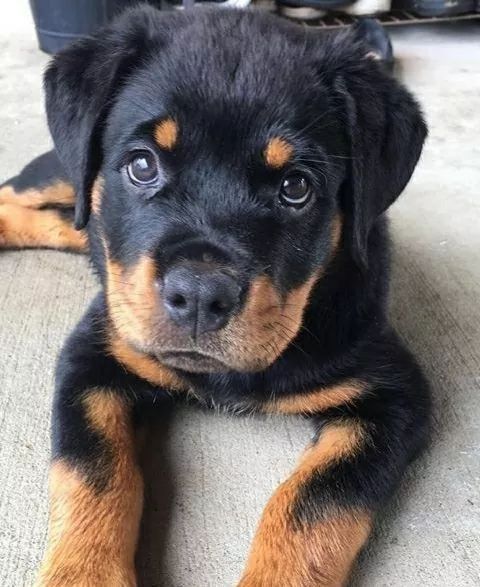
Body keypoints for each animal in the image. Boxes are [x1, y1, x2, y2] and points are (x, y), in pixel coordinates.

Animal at [0, 5, 430, 587]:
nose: (200, 295)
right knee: (16, 197)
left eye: (296, 187)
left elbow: (311, 502)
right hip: (60, 172)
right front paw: (83, 574)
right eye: (142, 164)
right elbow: (94, 470)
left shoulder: (394, 397)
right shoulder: (93, 357)